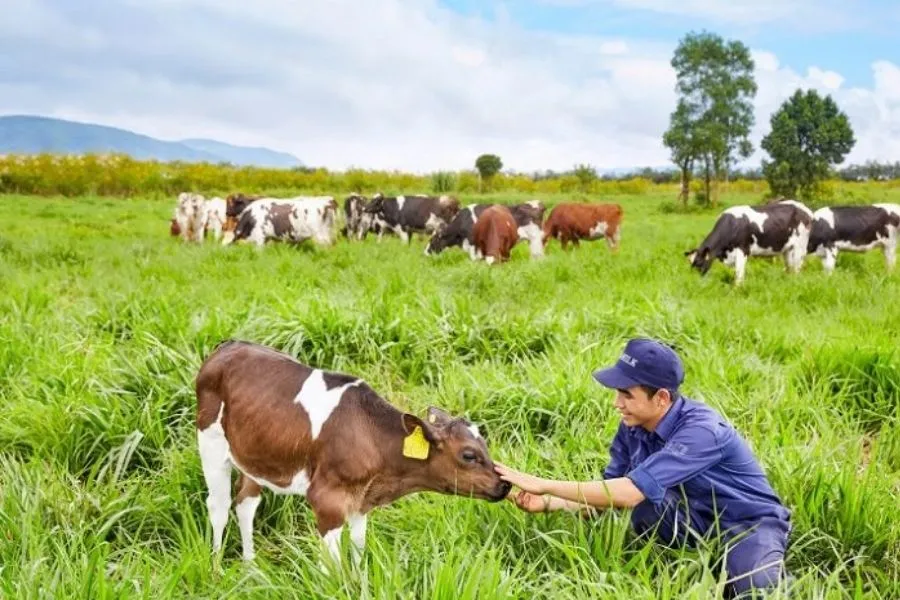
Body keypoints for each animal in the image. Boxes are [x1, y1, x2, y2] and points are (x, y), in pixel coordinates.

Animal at [193, 340, 510, 564]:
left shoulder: (361, 501)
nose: (504, 484)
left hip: (254, 452)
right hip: (210, 442)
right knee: (218, 506)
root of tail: (229, 345)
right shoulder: (327, 501)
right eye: (469, 455)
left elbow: (358, 551)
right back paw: (217, 569)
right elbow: (331, 567)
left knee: (246, 503)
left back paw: (250, 567)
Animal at [684, 199, 816, 286]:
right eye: (691, 264)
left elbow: (739, 275)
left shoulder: (743, 251)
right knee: (790, 268)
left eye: (699, 264)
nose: (693, 281)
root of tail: (804, 208)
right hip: (787, 249)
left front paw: (737, 290)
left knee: (797, 268)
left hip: (800, 247)